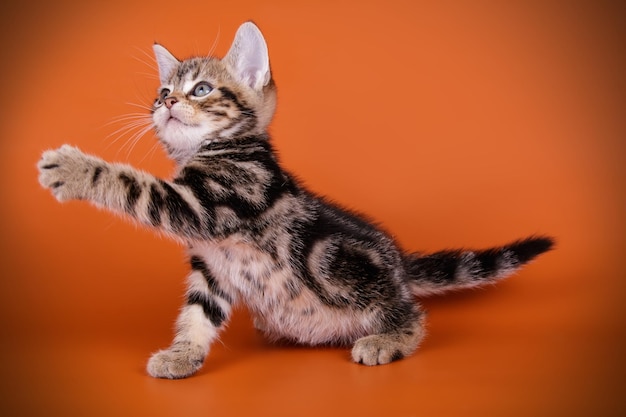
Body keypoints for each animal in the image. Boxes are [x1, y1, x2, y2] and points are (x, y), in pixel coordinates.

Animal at [37, 21, 552, 376]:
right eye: (164, 89)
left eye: (201, 89)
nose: (166, 102)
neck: (219, 149)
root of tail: (400, 264)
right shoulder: (212, 264)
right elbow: (198, 312)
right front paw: (183, 355)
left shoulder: (207, 204)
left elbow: (131, 185)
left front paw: (73, 168)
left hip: (332, 261)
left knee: (411, 311)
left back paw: (389, 339)